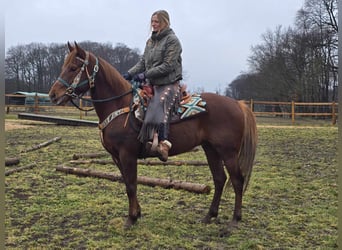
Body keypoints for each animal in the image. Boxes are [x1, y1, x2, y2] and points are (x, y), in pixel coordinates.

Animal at [48, 42, 256, 230]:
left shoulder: (127, 154)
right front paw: (137, 213)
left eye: (73, 68)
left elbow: (131, 185)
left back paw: (234, 221)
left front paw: (131, 219)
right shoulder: (116, 156)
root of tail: (238, 104)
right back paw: (209, 216)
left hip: (228, 152)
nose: (53, 95)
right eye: (64, 66)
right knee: (219, 179)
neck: (119, 105)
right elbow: (127, 183)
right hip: (211, 149)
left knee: (237, 181)